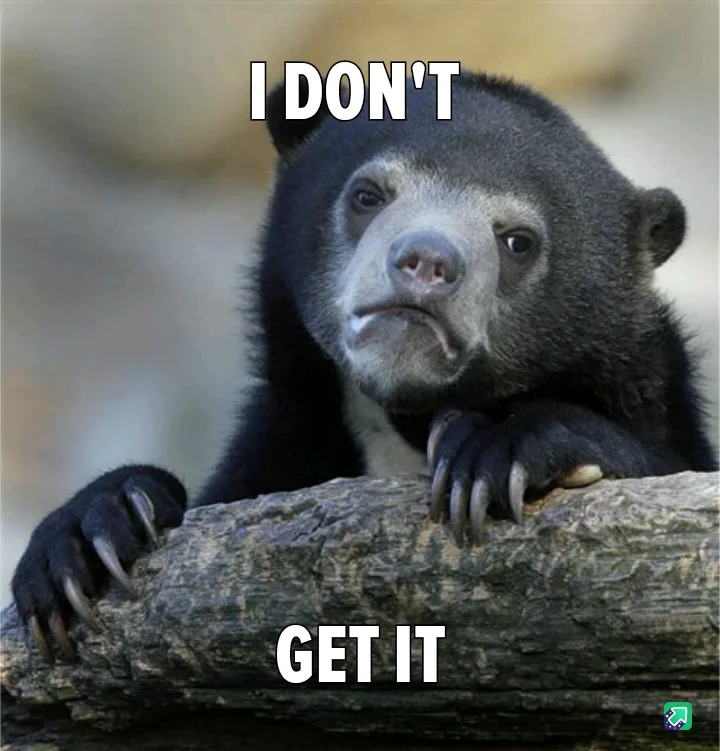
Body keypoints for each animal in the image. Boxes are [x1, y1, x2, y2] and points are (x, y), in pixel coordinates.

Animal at [11, 70, 717, 660]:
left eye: (518, 240)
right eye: (368, 194)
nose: (426, 262)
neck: (401, 420)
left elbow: (662, 458)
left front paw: (493, 450)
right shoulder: (291, 433)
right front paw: (88, 537)